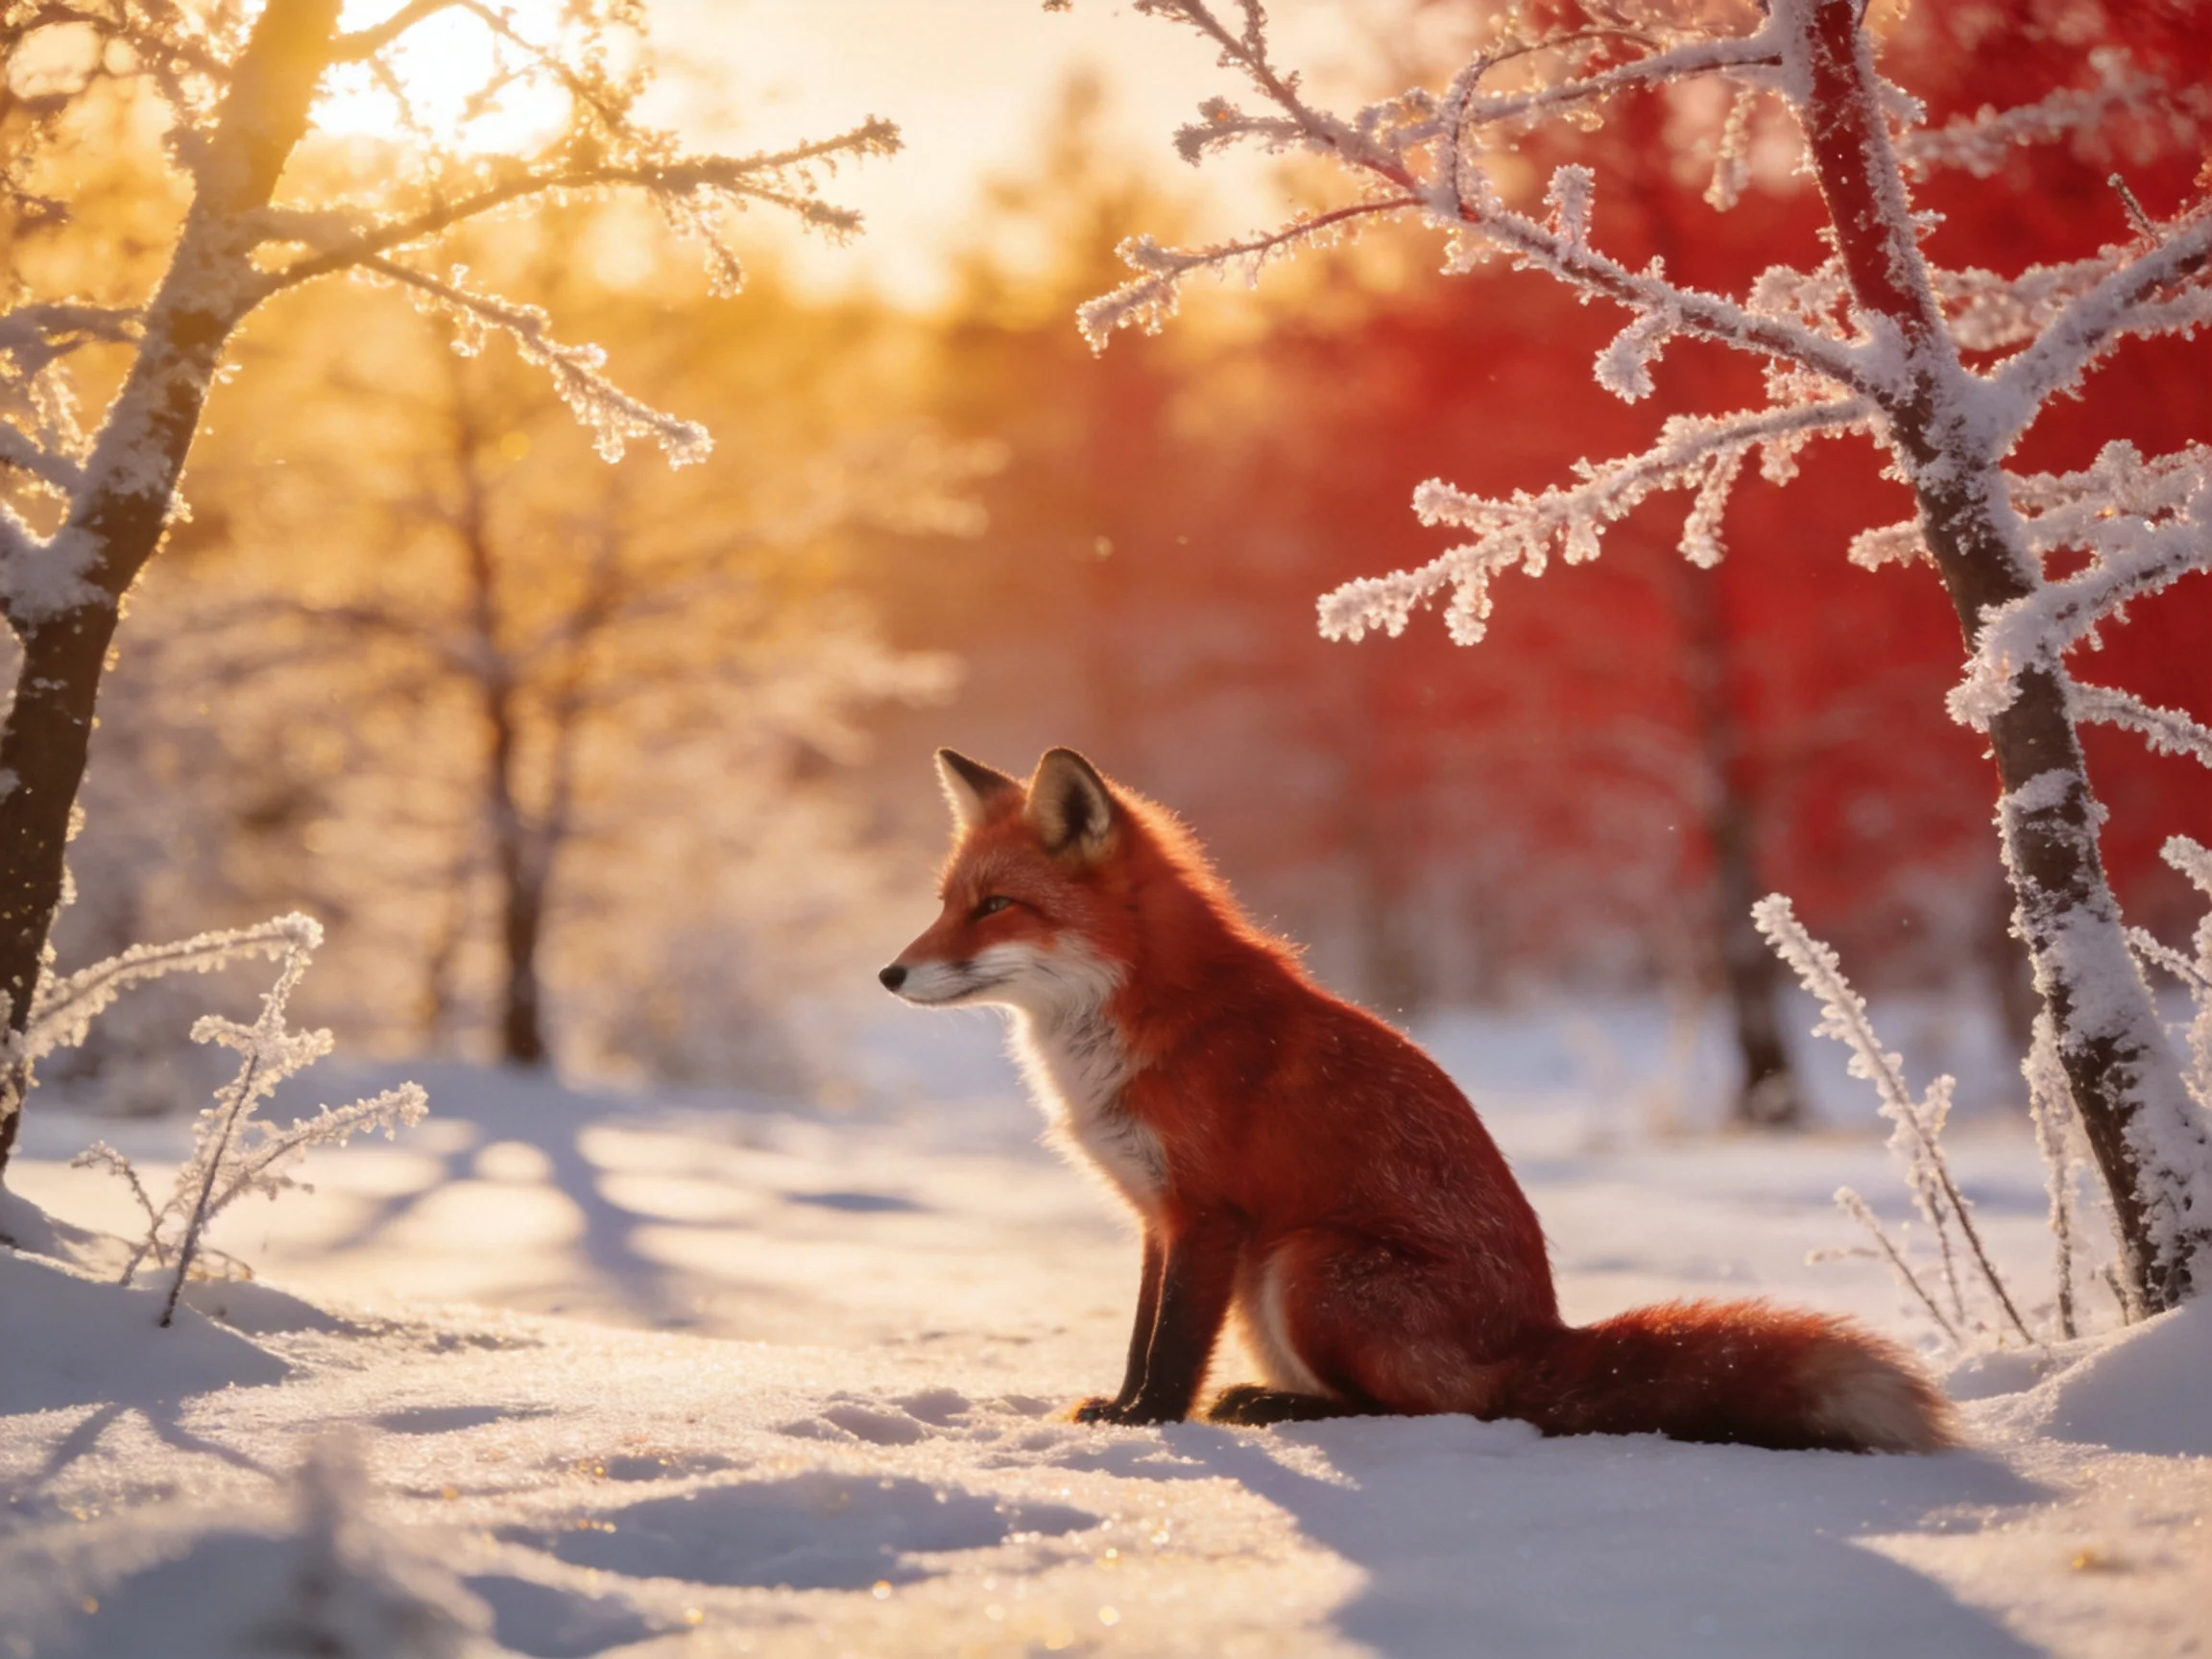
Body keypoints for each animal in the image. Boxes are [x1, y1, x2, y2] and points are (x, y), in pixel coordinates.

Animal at [880, 746, 1957, 1453]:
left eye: (993, 908)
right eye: (944, 903)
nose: (889, 974)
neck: (1136, 1026)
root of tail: (1537, 1341)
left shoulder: (1210, 1213)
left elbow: (1176, 1349)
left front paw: (1150, 1430)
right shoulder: (1156, 1215)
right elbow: (1145, 1333)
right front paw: (1120, 1410)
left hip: (1308, 1264)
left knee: (1441, 1412)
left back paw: (1283, 1410)